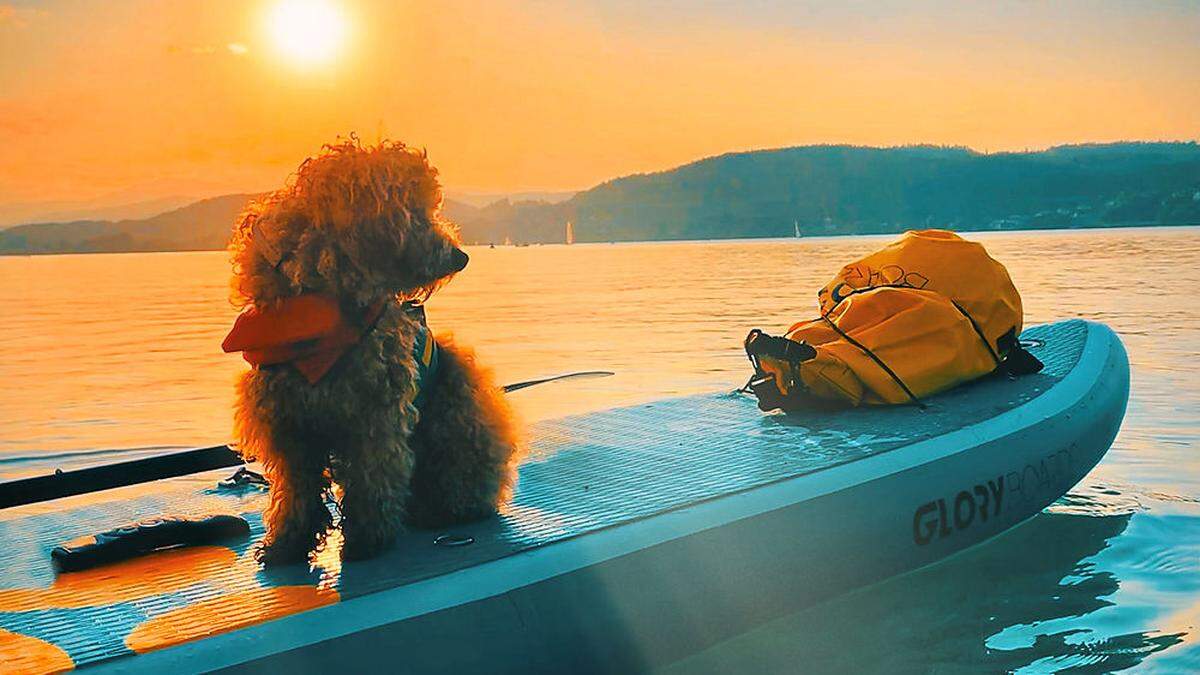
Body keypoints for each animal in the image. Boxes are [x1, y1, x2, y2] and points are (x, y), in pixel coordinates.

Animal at [223, 138, 518, 562]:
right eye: (412, 211)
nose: (460, 257)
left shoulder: (376, 413)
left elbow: (372, 478)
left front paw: (366, 538)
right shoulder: (287, 421)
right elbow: (296, 491)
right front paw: (288, 542)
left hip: (456, 416)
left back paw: (446, 509)